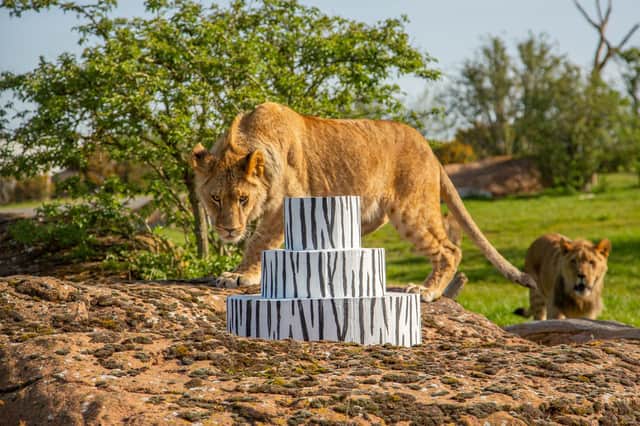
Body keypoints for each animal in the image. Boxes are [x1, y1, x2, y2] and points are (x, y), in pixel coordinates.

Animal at [190, 102, 535, 301]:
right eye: (215, 198)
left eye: (243, 198)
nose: (229, 230)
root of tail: (429, 147)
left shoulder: (288, 200)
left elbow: (259, 240)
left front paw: (239, 274)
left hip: (411, 211)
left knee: (449, 249)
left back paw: (427, 291)